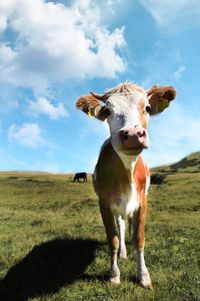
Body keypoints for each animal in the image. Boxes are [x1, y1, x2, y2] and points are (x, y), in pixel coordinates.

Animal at [76, 81, 176, 286]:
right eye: (107, 111)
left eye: (147, 108)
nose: (132, 134)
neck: (127, 173)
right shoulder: (105, 204)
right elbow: (113, 239)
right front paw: (114, 275)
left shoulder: (142, 202)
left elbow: (139, 237)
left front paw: (144, 276)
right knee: (121, 226)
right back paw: (122, 251)